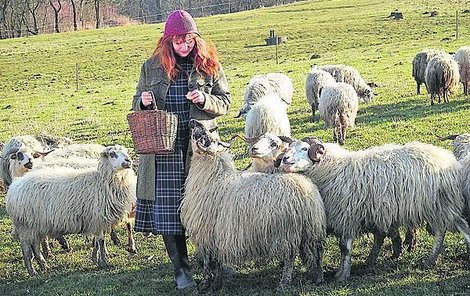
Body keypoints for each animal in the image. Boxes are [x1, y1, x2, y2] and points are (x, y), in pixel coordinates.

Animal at [5, 146, 138, 276]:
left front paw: (96, 259)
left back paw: (44, 266)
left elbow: (97, 242)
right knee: (26, 249)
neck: (102, 180)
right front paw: (103, 262)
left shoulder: (97, 221)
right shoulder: (98, 218)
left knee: (36, 246)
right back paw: (32, 271)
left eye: (125, 151)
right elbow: (101, 241)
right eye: (112, 154)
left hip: (36, 226)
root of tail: (14, 186)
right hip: (26, 226)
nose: (128, 161)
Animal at [180, 120, 326, 292]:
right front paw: (217, 282)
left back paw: (283, 284)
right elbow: (217, 261)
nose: (193, 121)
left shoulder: (206, 232)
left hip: (287, 231)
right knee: (317, 253)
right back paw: (318, 277)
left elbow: (208, 262)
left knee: (290, 258)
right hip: (311, 230)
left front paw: (205, 283)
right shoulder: (217, 233)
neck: (212, 177)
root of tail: (306, 188)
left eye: (202, 134)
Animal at [278, 138, 470, 282]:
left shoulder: (348, 216)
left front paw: (342, 275)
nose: (284, 159)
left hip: (442, 204)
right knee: (441, 231)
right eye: (289, 148)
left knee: (459, 227)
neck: (333, 168)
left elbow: (344, 248)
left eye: (304, 148)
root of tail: (450, 161)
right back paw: (430, 261)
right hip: (436, 207)